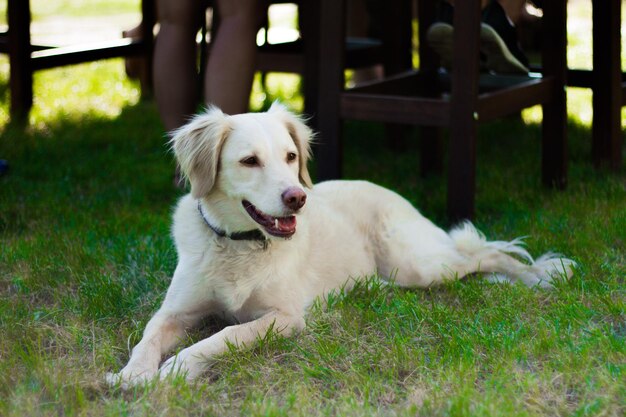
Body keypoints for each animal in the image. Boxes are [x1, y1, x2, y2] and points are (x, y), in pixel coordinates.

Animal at [105, 101, 572, 386]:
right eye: (249, 161)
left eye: (291, 157)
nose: (298, 197)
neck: (240, 246)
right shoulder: (175, 311)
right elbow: (147, 337)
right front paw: (131, 375)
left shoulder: (285, 317)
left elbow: (223, 336)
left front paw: (176, 370)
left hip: (416, 264)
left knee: (485, 253)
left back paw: (536, 276)